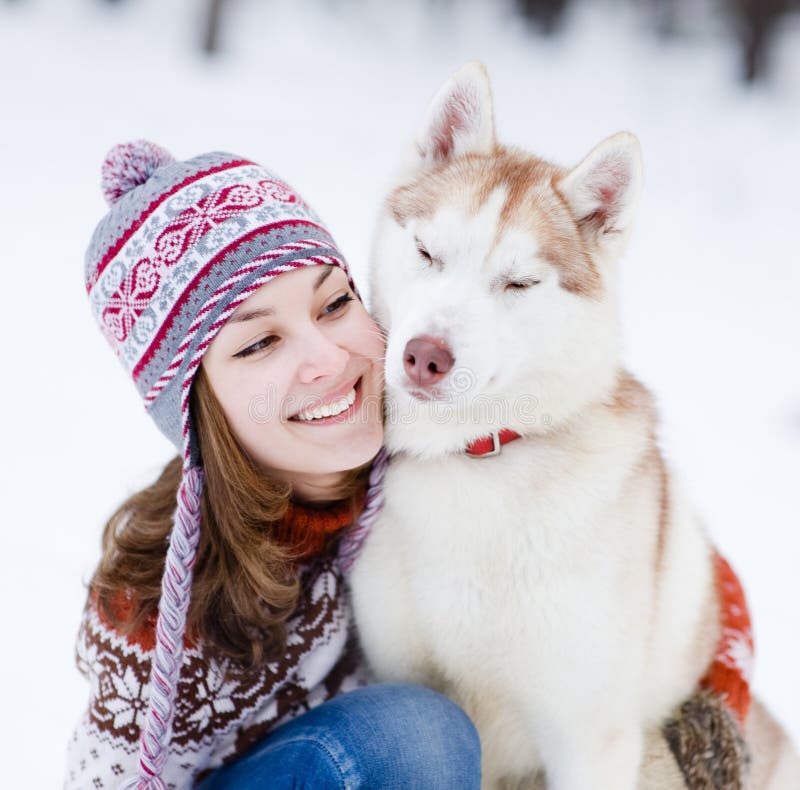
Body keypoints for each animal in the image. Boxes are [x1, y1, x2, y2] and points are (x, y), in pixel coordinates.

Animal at [352, 63, 800, 790]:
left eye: (520, 283)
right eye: (427, 252)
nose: (424, 355)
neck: (476, 459)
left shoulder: (589, 740)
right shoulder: (413, 676)